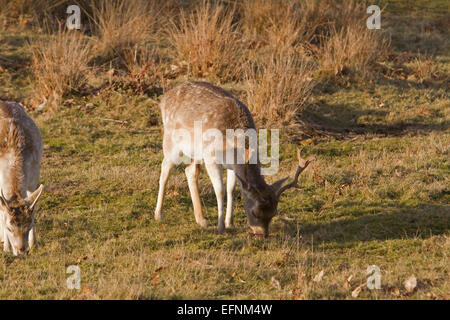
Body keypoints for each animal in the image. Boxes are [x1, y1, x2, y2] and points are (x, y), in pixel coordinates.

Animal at [0, 101, 43, 256]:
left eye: (29, 225)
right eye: (10, 228)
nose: (21, 251)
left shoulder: (34, 177)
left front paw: (34, 244)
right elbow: (2, 213)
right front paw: (6, 247)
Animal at [155, 82, 312, 238]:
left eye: (274, 213)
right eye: (255, 212)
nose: (262, 234)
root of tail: (164, 98)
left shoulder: (232, 165)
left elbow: (231, 188)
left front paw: (230, 223)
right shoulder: (211, 157)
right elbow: (220, 190)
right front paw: (221, 227)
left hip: (196, 152)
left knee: (190, 171)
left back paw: (201, 220)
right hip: (171, 142)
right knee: (165, 168)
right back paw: (158, 215)